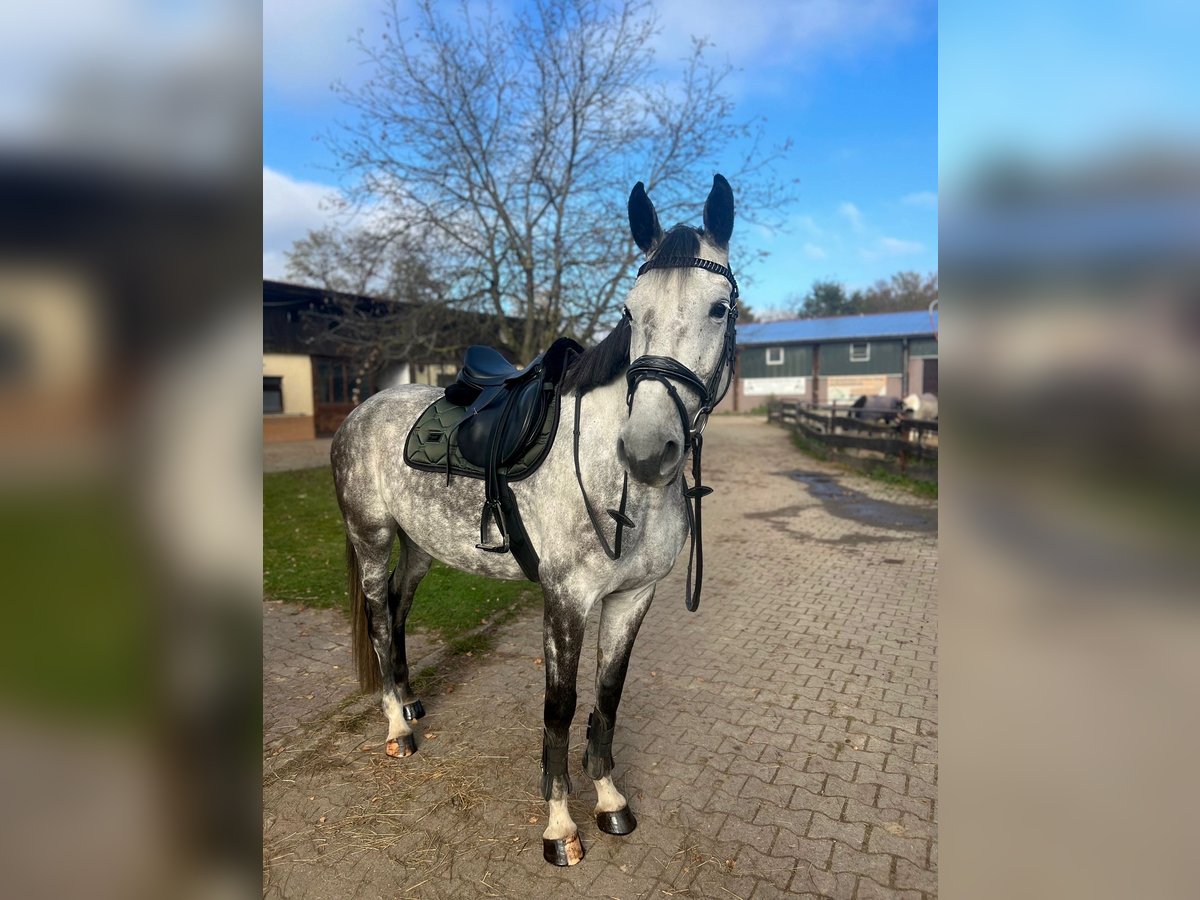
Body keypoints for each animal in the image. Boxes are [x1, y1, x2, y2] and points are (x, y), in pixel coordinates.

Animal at [330, 175, 740, 867]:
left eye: (718, 308)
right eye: (631, 311)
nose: (648, 449)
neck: (614, 475)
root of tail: (361, 411)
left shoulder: (634, 596)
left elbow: (608, 695)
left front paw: (609, 800)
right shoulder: (567, 598)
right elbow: (560, 706)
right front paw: (559, 826)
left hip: (419, 549)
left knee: (399, 610)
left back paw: (410, 705)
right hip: (373, 540)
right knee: (381, 623)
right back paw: (396, 730)